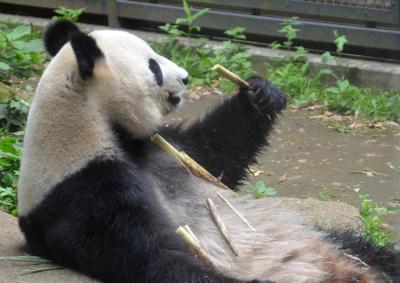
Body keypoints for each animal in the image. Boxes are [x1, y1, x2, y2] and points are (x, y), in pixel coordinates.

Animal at [17, 20, 398, 283]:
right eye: (154, 66)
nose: (186, 77)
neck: (88, 123)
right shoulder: (85, 188)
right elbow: (150, 254)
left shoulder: (163, 148)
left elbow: (217, 154)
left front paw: (261, 94)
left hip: (332, 240)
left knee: (374, 251)